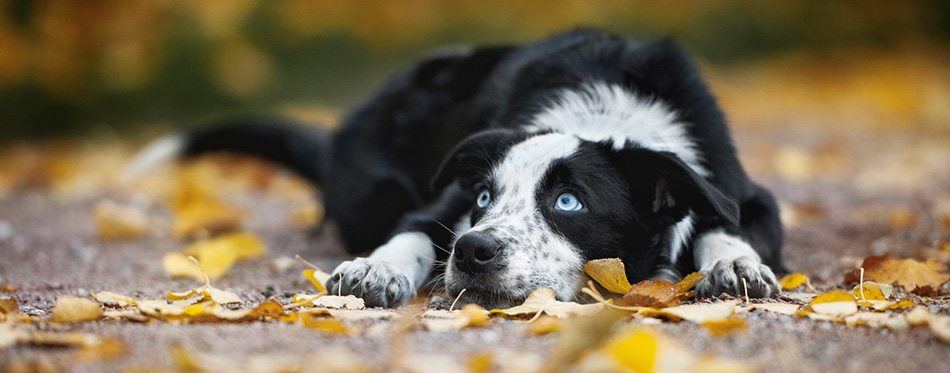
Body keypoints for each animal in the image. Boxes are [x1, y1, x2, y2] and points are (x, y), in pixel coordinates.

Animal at [130, 29, 792, 308]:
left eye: (569, 202)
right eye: (482, 199)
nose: (474, 250)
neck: (611, 112)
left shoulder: (743, 194)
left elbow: (725, 223)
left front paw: (734, 266)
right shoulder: (441, 202)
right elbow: (414, 233)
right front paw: (375, 270)